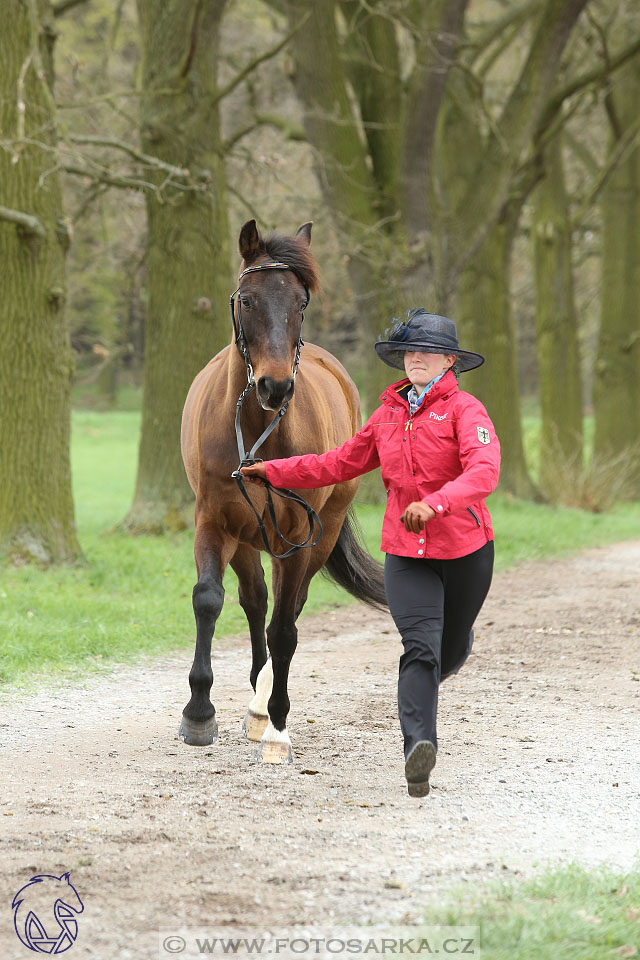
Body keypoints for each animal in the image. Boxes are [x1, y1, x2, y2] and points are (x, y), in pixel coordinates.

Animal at [179, 219, 384, 764]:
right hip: (248, 538)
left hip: (318, 533)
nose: (275, 386)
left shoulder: (297, 534)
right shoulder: (215, 522)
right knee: (254, 600)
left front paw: (276, 727)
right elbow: (209, 600)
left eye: (301, 302)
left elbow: (285, 629)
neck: (257, 432)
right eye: (248, 300)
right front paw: (198, 713)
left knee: (288, 610)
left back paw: (266, 708)